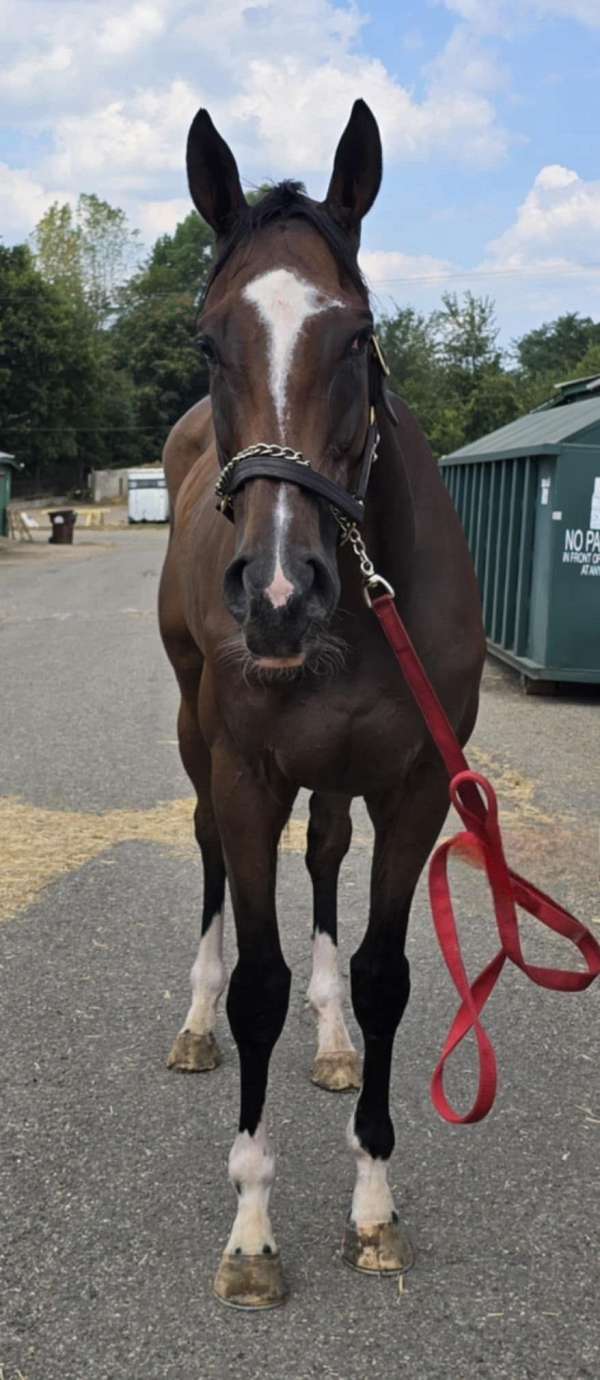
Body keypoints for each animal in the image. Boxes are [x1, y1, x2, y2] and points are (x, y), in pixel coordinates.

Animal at [158, 98, 485, 1308]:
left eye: (358, 336)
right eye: (209, 342)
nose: (279, 595)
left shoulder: (416, 785)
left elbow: (390, 976)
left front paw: (374, 1202)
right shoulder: (248, 774)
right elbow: (259, 979)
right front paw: (252, 1225)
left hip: (342, 779)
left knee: (329, 859)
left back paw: (335, 1037)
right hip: (196, 741)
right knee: (210, 862)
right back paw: (196, 1021)